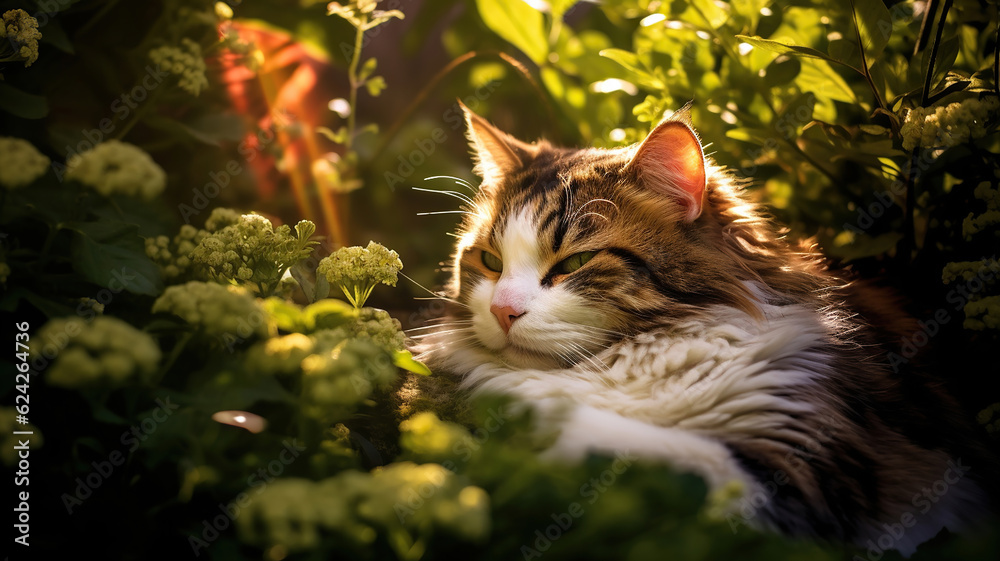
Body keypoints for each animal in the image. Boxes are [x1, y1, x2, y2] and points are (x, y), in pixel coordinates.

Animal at [412, 101, 992, 556]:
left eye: (575, 262)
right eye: (489, 261)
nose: (502, 311)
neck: (629, 359)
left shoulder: (804, 466)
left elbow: (637, 447)